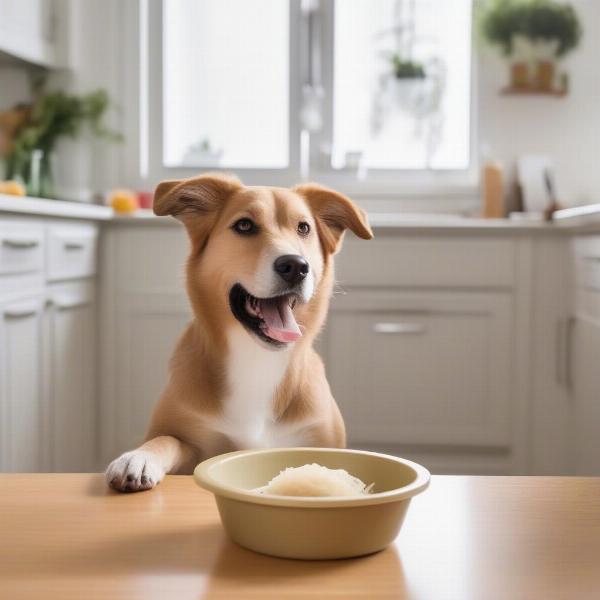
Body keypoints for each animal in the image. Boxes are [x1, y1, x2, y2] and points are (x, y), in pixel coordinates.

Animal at [105, 173, 372, 492]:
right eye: (244, 225)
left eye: (303, 228)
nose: (296, 266)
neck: (257, 359)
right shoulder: (188, 436)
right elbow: (165, 439)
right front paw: (139, 458)